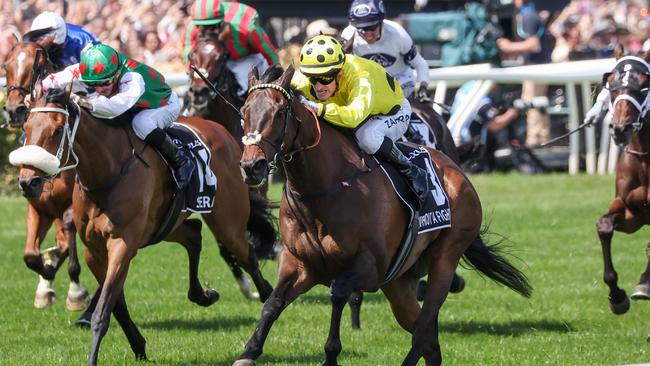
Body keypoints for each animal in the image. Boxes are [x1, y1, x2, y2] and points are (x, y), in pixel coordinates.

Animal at [235, 65, 528, 366]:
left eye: (280, 112)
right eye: (244, 111)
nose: (252, 166)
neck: (324, 187)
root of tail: (457, 171)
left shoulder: (370, 267)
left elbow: (338, 293)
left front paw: (331, 354)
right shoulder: (299, 264)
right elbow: (272, 303)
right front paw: (249, 352)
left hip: (445, 260)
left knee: (424, 329)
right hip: (400, 284)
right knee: (429, 339)